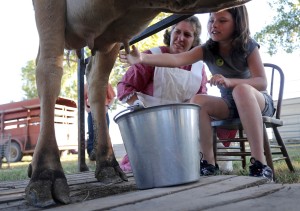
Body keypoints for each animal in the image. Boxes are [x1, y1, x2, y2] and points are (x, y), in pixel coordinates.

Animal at [28, 0, 251, 208]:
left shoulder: (114, 32)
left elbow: (97, 79)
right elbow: (49, 70)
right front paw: (45, 176)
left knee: (95, 80)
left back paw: (108, 165)